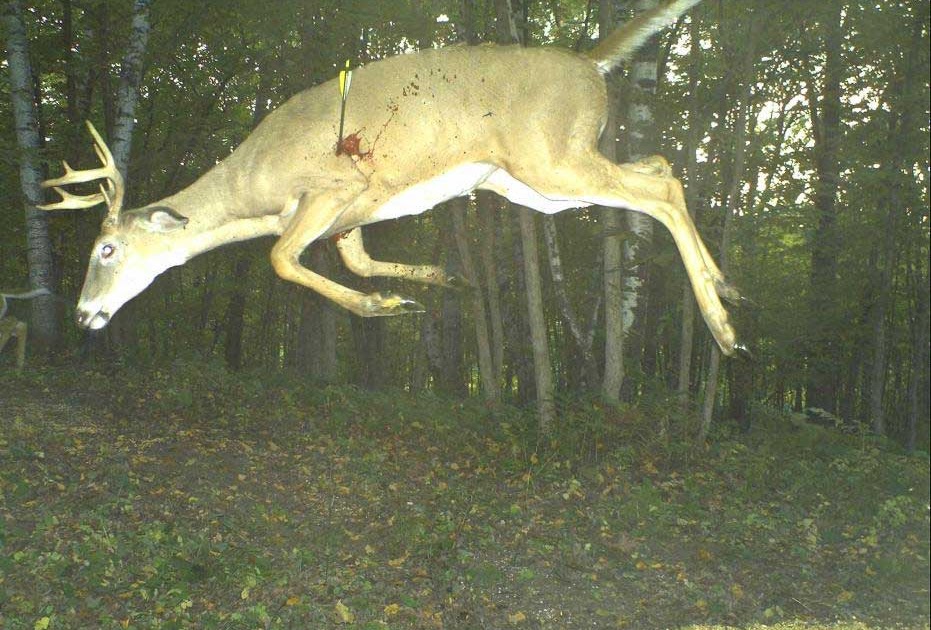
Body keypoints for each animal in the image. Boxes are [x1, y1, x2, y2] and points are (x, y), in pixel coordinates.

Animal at [41, 0, 743, 356]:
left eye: (107, 249)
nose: (81, 314)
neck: (249, 191)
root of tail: (591, 65)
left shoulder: (330, 188)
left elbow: (279, 258)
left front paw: (379, 306)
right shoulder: (353, 215)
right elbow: (355, 259)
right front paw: (435, 283)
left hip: (548, 158)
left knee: (658, 186)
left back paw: (724, 327)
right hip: (530, 182)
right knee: (660, 167)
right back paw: (727, 288)